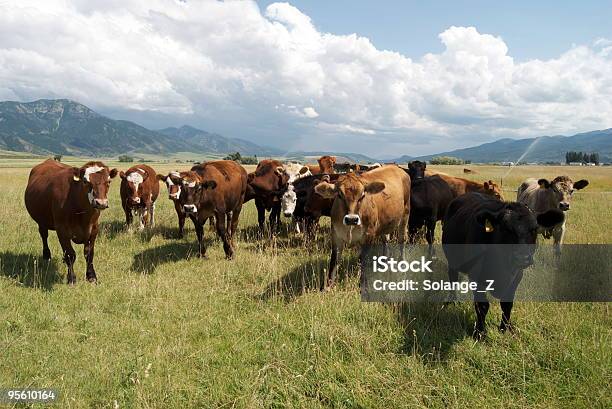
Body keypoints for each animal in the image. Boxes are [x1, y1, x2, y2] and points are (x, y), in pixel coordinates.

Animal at [442, 193, 568, 340]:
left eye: (534, 229)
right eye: (506, 229)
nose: (522, 257)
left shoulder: (517, 276)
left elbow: (507, 304)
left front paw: (505, 329)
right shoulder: (476, 275)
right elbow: (482, 305)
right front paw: (479, 333)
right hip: (452, 260)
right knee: (453, 278)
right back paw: (452, 301)